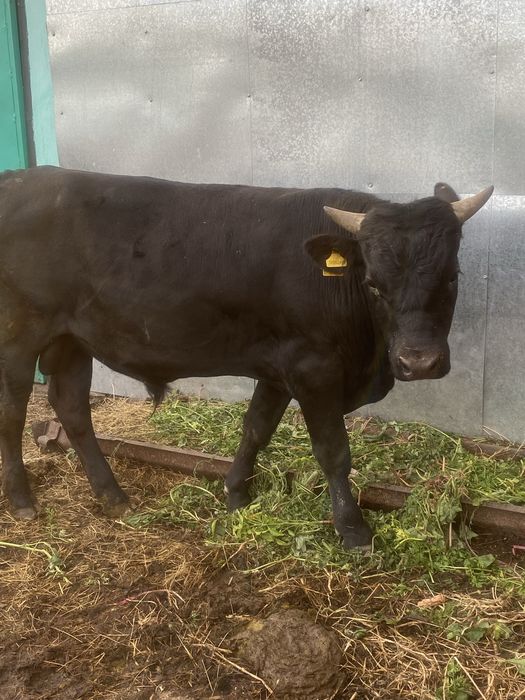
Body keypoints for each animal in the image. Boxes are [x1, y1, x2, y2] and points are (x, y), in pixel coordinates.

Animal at [0, 167, 492, 549]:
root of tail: (18, 178)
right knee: (13, 411)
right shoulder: (312, 370)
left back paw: (111, 495)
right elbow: (333, 451)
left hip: (71, 340)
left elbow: (257, 427)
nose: (419, 362)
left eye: (452, 276)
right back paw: (22, 500)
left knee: (71, 406)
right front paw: (353, 529)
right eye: (373, 283)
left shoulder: (277, 366)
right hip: (18, 339)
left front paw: (236, 494)